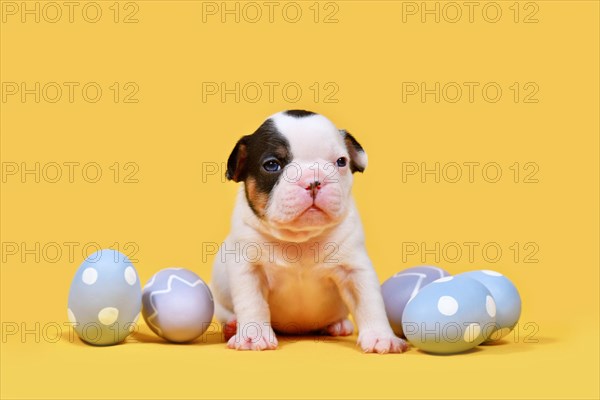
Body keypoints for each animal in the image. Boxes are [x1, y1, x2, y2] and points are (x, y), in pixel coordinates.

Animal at [211, 110, 408, 354]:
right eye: (272, 165)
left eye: (341, 162)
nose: (314, 181)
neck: (301, 238)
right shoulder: (249, 269)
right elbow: (252, 303)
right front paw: (252, 337)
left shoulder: (355, 270)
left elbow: (369, 301)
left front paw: (381, 337)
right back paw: (232, 325)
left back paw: (338, 325)